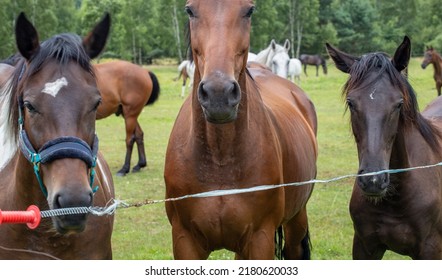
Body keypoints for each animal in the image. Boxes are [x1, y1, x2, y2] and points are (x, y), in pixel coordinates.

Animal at [165, 0, 318, 260]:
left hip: (296, 219)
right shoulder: (184, 240)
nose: (218, 94)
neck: (219, 159)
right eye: (190, 10)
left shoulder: (260, 239)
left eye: (249, 10)